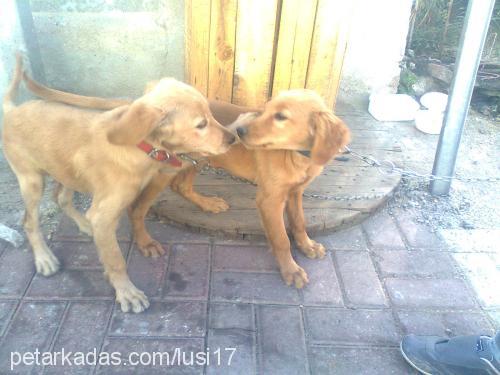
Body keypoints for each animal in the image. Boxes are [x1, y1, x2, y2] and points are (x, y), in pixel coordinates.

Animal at [1, 55, 234, 312]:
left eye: (211, 114)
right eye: (201, 124)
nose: (233, 138)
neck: (140, 147)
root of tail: (12, 109)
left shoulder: (153, 182)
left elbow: (139, 212)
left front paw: (144, 242)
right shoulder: (104, 214)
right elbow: (115, 260)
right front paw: (127, 292)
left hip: (67, 169)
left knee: (61, 198)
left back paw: (84, 224)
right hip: (31, 180)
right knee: (29, 221)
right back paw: (44, 258)